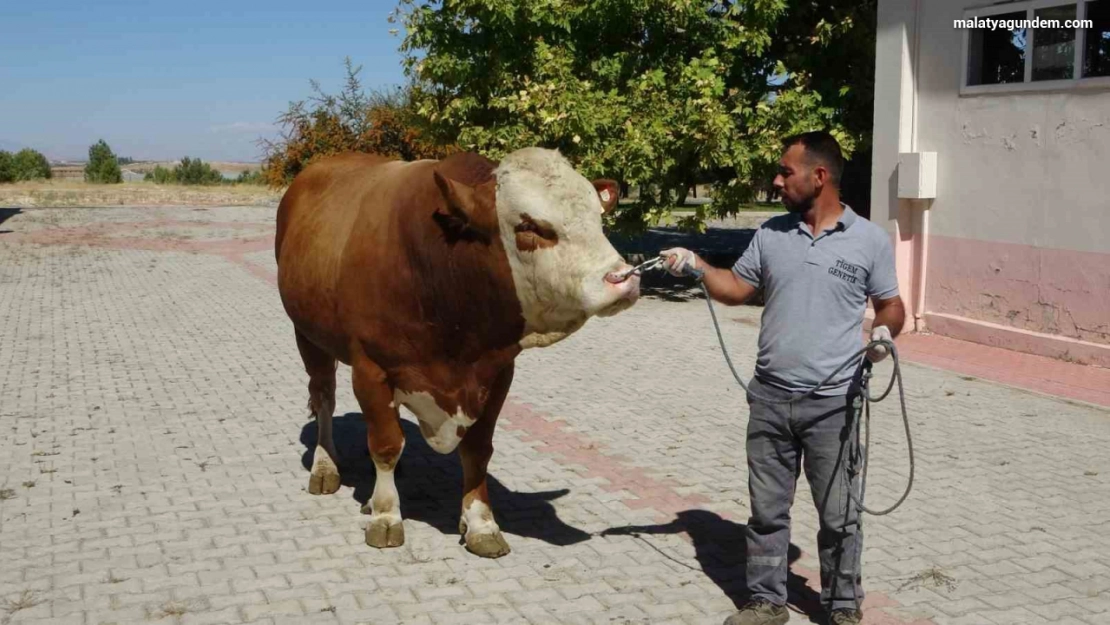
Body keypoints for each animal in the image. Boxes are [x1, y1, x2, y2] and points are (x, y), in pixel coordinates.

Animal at [274, 146, 643, 557]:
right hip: (308, 336)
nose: (623, 278)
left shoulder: (496, 373)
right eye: (529, 226)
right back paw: (325, 466)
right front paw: (386, 515)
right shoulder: (371, 367)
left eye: (598, 217)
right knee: (324, 396)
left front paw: (481, 523)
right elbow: (385, 444)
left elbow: (477, 450)